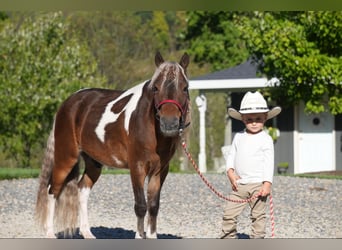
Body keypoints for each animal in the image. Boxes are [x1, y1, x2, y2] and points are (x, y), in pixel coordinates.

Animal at [36, 52, 191, 238]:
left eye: (185, 88)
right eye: (155, 88)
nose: (169, 124)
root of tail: (68, 103)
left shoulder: (159, 171)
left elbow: (153, 206)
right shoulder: (137, 167)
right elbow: (141, 206)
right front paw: (140, 236)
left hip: (94, 163)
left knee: (82, 190)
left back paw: (87, 233)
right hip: (66, 158)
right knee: (52, 190)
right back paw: (50, 233)